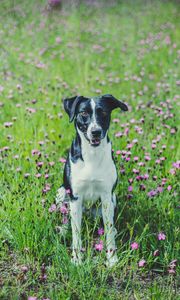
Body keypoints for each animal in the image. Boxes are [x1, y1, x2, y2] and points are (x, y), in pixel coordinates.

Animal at [56, 94, 128, 268]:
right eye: (83, 113)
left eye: (103, 113)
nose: (95, 132)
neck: (92, 155)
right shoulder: (75, 197)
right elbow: (76, 234)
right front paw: (77, 259)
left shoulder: (107, 196)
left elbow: (108, 231)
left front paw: (112, 259)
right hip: (62, 193)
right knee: (66, 218)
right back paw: (63, 229)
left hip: (112, 199)